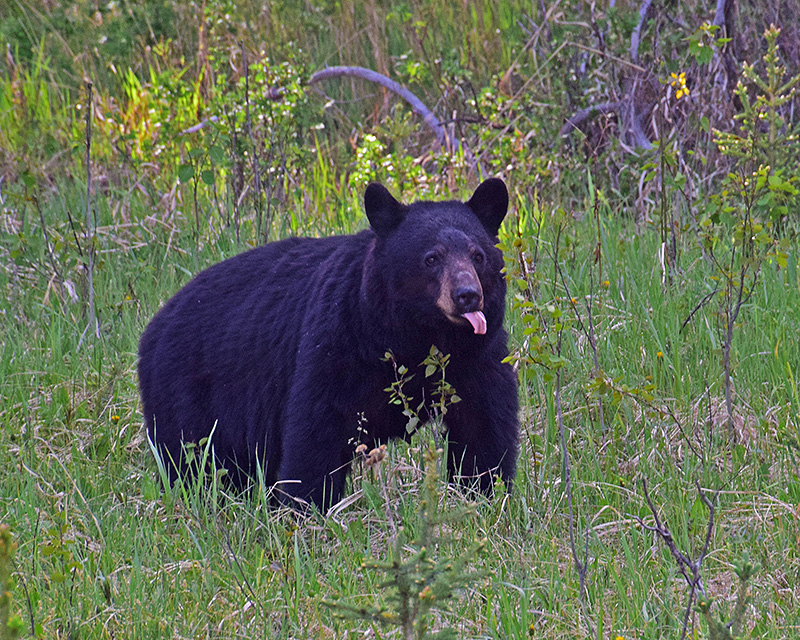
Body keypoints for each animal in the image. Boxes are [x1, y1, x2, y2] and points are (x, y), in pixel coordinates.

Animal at [138, 178, 520, 508]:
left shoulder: (478, 359)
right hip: (187, 393)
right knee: (190, 459)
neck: (418, 338)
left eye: (478, 255)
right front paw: (305, 509)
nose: (467, 296)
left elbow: (483, 428)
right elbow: (317, 429)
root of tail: (155, 325)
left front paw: (484, 494)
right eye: (431, 258)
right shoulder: (339, 345)